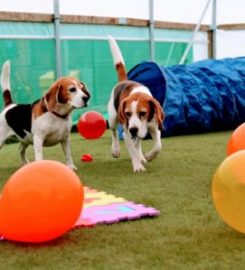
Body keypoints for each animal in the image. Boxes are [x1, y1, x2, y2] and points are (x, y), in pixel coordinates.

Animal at [107, 35, 165, 172]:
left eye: (142, 113)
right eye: (127, 113)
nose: (133, 129)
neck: (138, 92)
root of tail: (124, 81)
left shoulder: (154, 126)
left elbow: (158, 146)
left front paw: (148, 156)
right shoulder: (127, 132)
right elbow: (132, 150)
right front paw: (138, 167)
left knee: (138, 143)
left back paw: (142, 157)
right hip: (112, 118)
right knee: (114, 132)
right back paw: (116, 149)